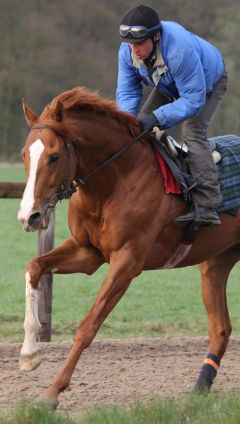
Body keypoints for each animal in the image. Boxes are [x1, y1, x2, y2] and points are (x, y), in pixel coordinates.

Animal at [18, 86, 240, 408]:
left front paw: (52, 392)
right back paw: (199, 389)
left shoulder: (127, 261)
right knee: (220, 329)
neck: (116, 180)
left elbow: (88, 326)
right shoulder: (87, 251)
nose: (29, 216)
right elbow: (33, 266)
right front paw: (29, 354)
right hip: (216, 263)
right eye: (25, 154)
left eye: (54, 156)